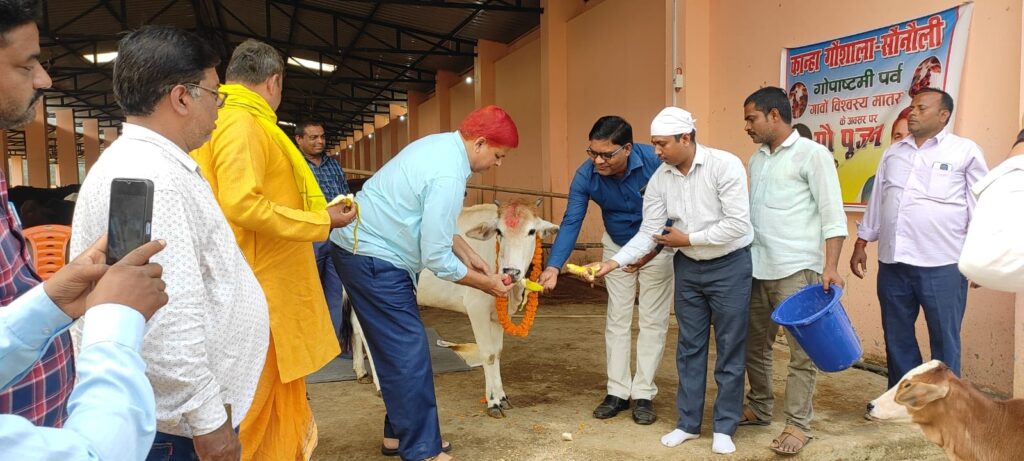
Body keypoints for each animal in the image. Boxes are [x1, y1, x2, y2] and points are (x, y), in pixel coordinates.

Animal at [352, 198, 561, 417]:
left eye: (531, 231)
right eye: (499, 231)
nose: (511, 272)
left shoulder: (496, 315)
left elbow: (497, 352)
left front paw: (502, 397)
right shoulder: (477, 308)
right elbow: (488, 354)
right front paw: (493, 402)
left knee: (355, 327)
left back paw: (361, 371)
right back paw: (379, 385)